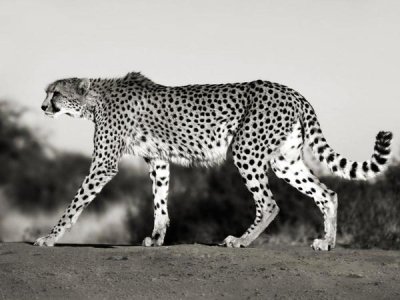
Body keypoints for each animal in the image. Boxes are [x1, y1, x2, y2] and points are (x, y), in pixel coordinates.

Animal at [36, 73, 392, 251]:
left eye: (55, 94)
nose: (42, 107)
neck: (95, 99)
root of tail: (292, 91)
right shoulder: (159, 160)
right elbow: (160, 201)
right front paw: (157, 238)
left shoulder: (104, 163)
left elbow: (75, 203)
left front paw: (50, 237)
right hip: (284, 161)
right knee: (327, 193)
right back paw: (326, 242)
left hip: (246, 150)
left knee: (269, 203)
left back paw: (241, 240)